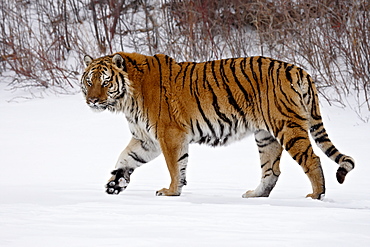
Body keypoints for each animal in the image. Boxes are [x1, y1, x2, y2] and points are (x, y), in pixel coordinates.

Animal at [81, 51, 356, 199]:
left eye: (105, 82)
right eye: (89, 81)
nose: (91, 100)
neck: (127, 99)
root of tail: (299, 70)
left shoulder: (169, 134)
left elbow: (174, 166)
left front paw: (171, 191)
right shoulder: (146, 139)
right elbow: (126, 157)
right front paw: (115, 183)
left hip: (287, 127)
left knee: (312, 159)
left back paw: (316, 195)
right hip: (265, 135)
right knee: (271, 170)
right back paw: (256, 195)